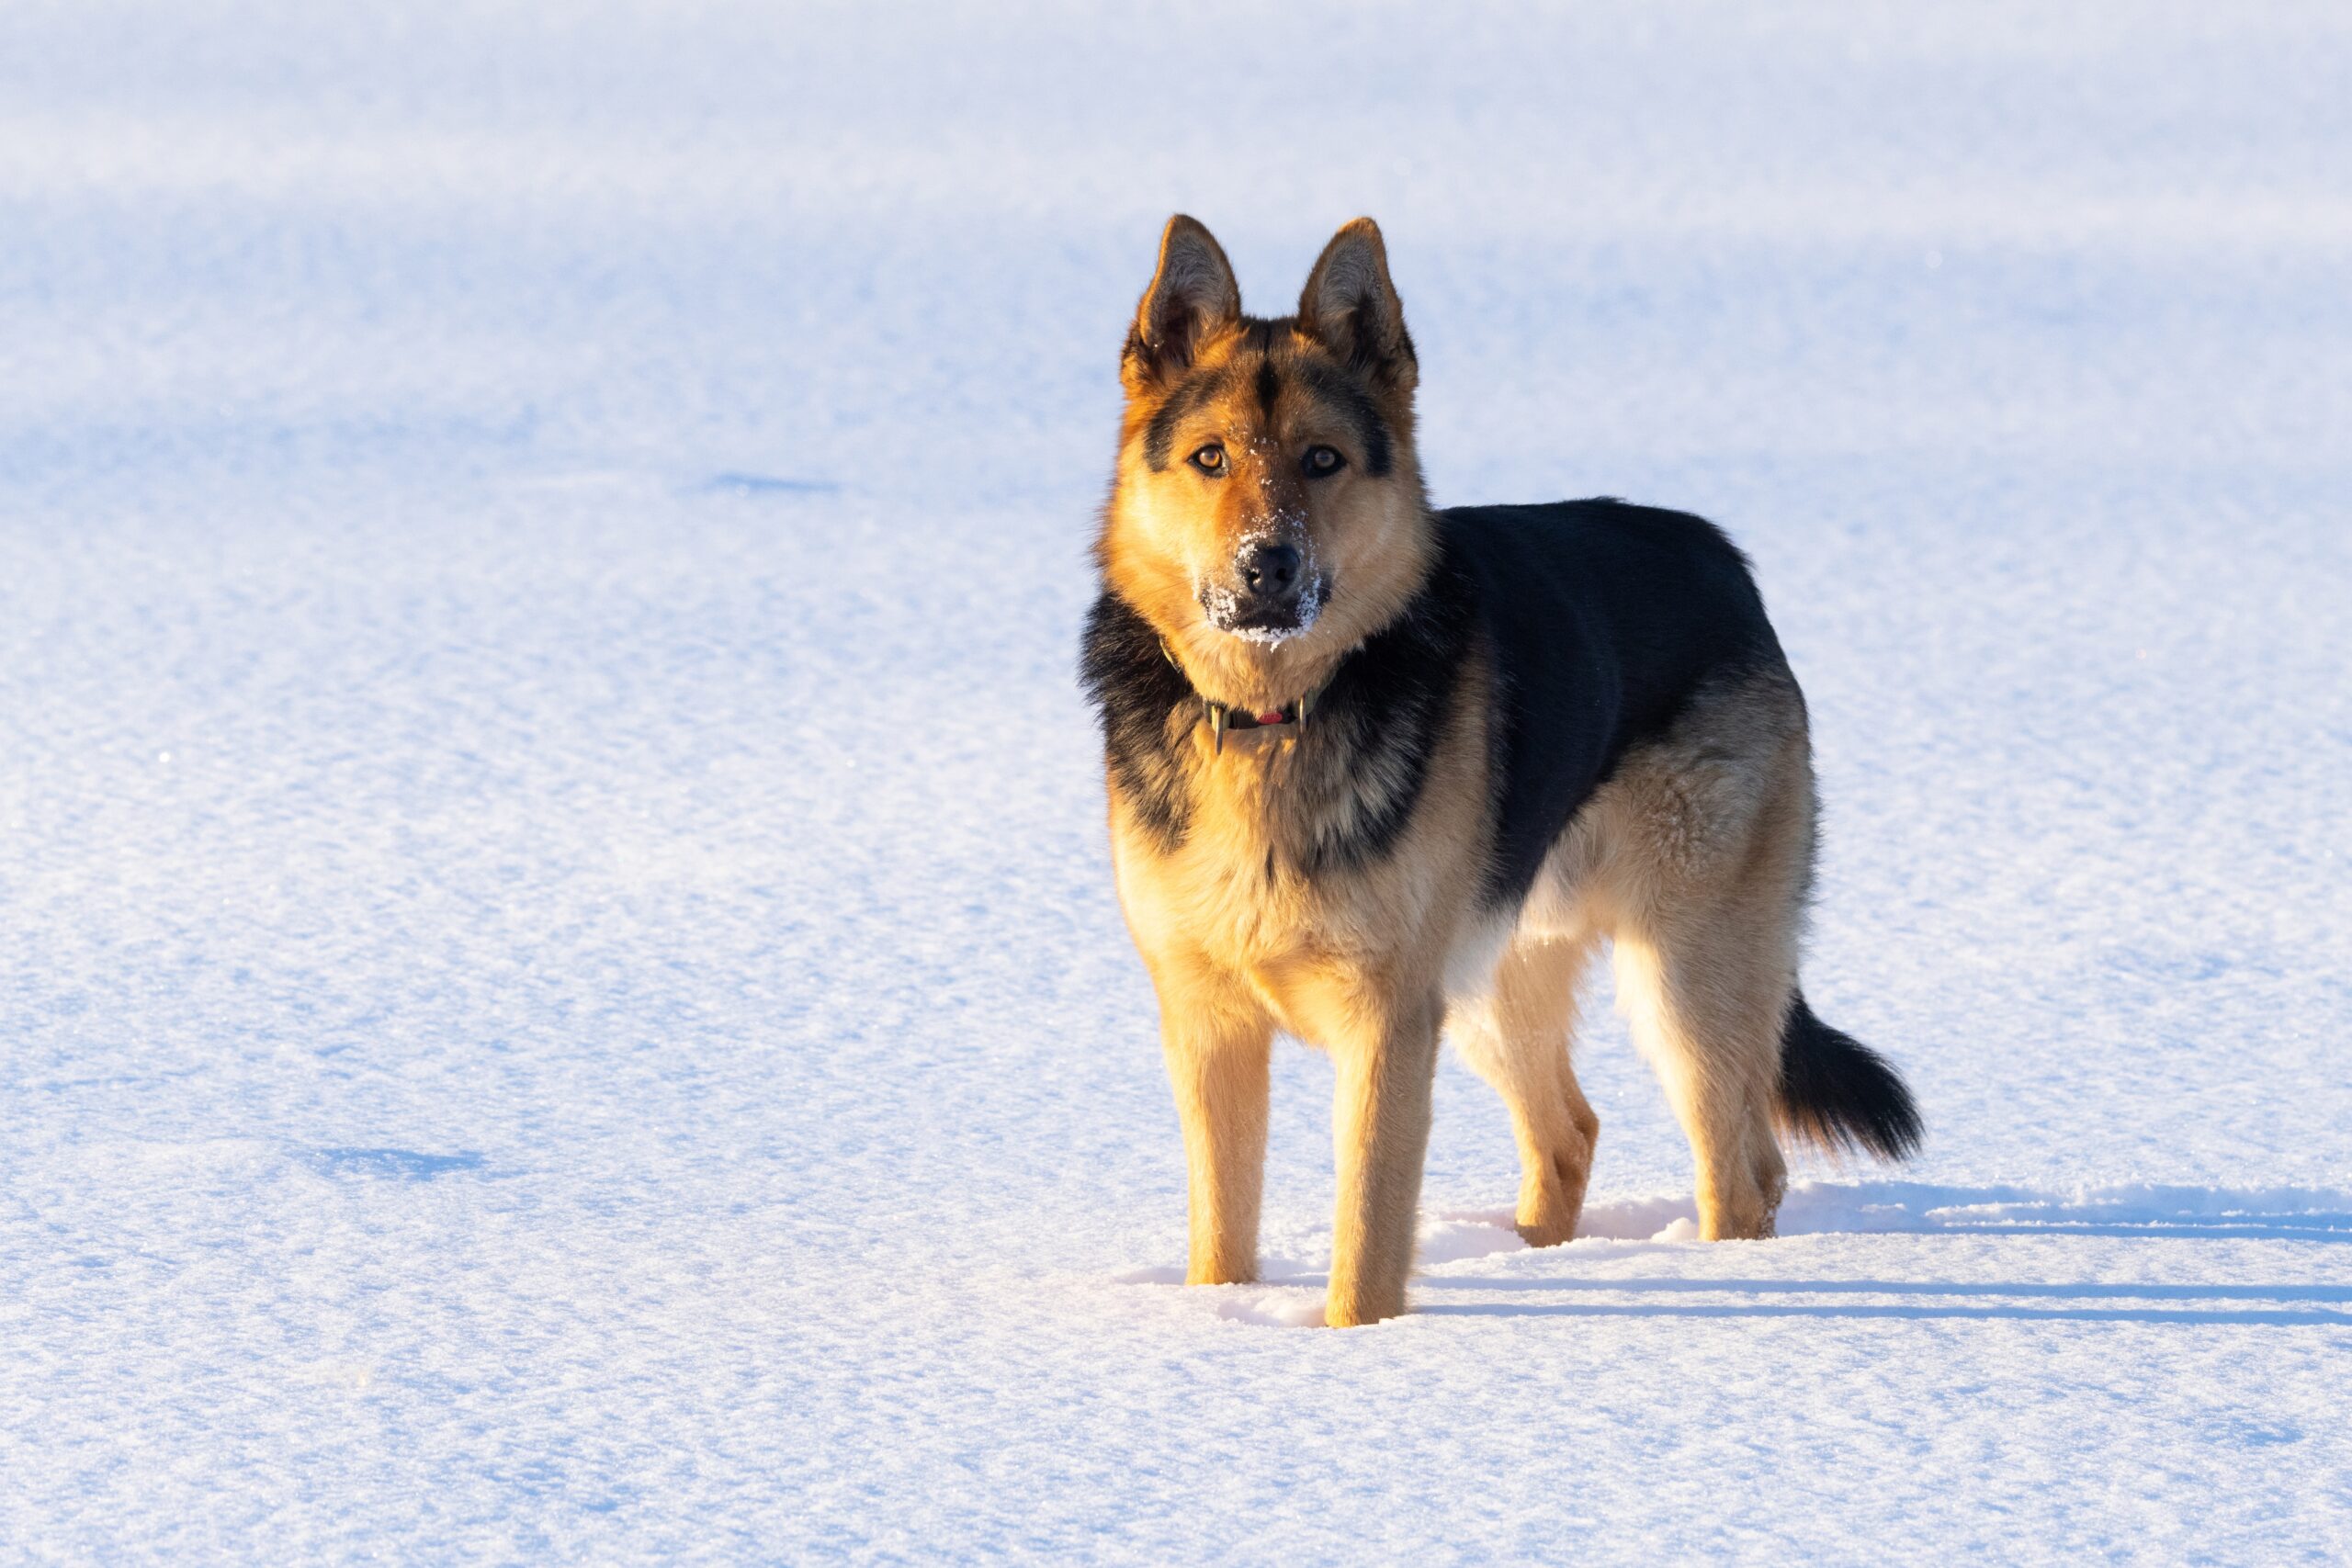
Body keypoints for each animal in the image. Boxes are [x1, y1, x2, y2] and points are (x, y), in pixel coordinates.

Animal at [1077, 215, 1909, 1335]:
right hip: (1492, 981)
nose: (1268, 566)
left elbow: (1366, 1232)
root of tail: (1722, 561)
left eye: (1322, 460)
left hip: (1679, 978)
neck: (1273, 716)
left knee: (1739, 1173)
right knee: (1573, 1135)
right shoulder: (1209, 1024)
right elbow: (1221, 1235)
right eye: (1211, 459)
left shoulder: (1386, 1022)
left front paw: (1355, 1346)